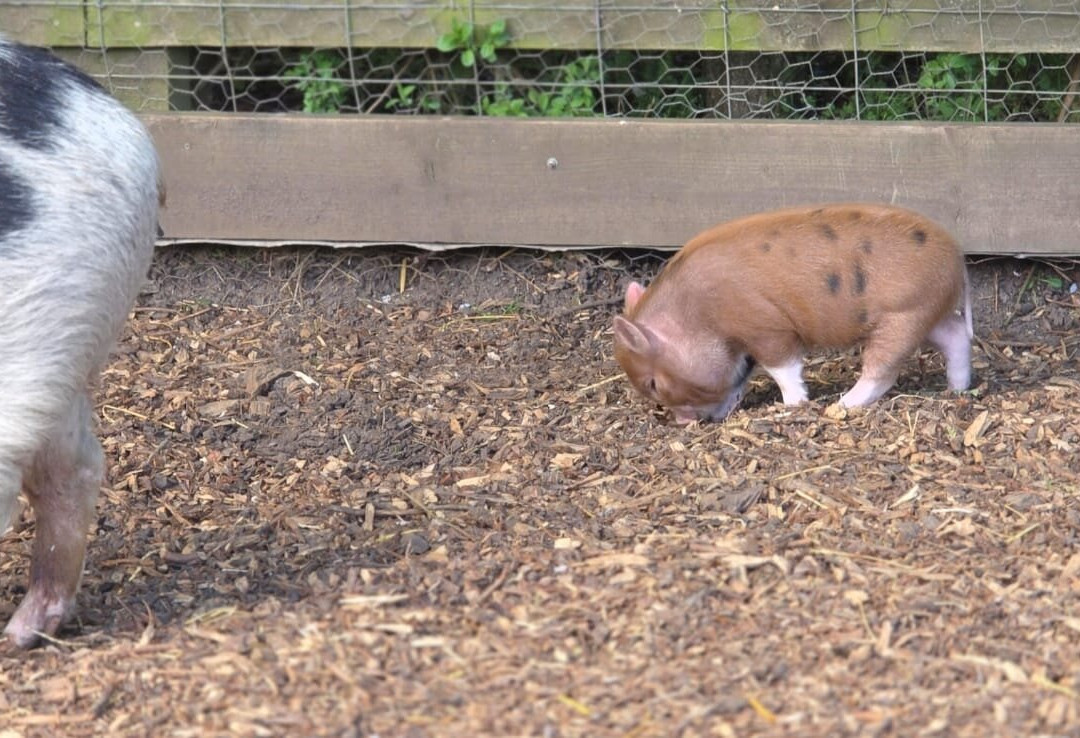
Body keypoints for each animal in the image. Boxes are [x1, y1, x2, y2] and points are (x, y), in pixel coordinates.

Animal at [613, 203, 972, 424]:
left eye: (653, 383)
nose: (683, 422)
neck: (701, 313)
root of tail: (956, 258)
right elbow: (738, 380)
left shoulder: (766, 327)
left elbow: (783, 368)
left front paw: (792, 406)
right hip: (927, 312)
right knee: (955, 336)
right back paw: (956, 390)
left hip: (903, 315)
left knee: (882, 370)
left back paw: (840, 405)